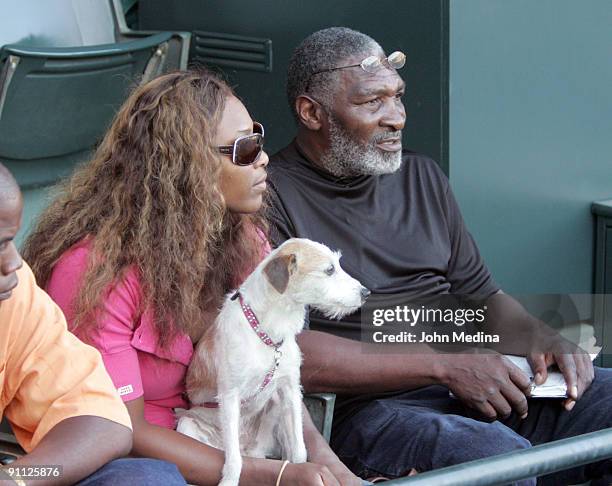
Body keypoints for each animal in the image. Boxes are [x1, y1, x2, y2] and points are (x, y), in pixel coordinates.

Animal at [176, 238, 368, 486]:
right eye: (329, 270)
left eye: (337, 265)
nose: (366, 293)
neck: (267, 333)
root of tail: (248, 448)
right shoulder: (230, 396)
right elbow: (234, 460)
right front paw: (229, 480)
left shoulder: (290, 389)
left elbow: (299, 450)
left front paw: (301, 469)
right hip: (186, 425)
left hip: (275, 408)